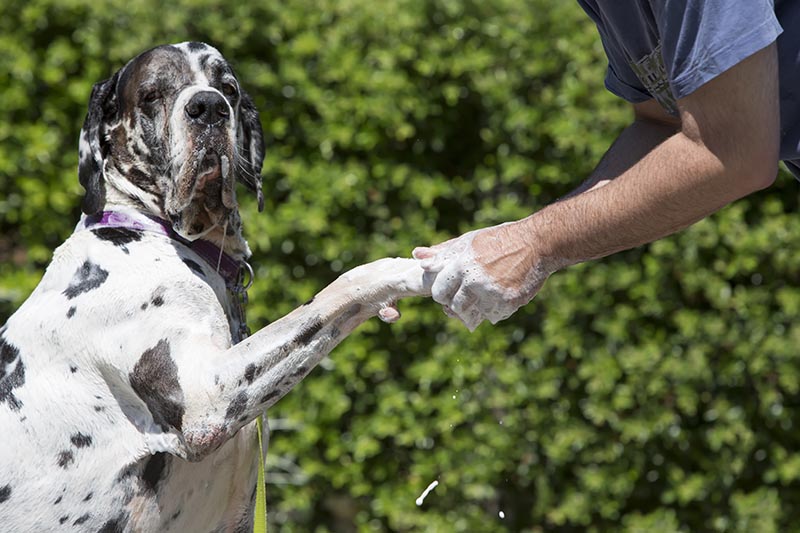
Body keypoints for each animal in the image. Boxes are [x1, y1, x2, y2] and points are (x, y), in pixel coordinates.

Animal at [0, 42, 432, 532]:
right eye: (152, 94)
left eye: (228, 88)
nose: (208, 107)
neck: (157, 233)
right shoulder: (206, 397)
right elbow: (338, 291)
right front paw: (409, 270)